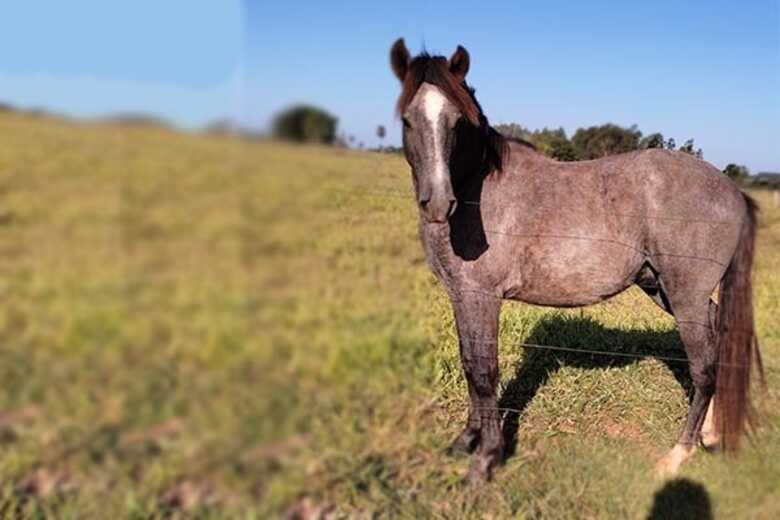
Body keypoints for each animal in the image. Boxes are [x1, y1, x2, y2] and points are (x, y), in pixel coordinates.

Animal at [389, 38, 763, 483]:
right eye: (407, 120)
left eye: (457, 122)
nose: (437, 202)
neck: (477, 193)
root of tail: (732, 190)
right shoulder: (460, 297)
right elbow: (469, 364)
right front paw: (464, 442)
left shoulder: (482, 297)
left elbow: (483, 372)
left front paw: (485, 460)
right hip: (661, 286)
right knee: (717, 334)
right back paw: (710, 433)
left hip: (683, 294)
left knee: (704, 366)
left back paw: (678, 453)